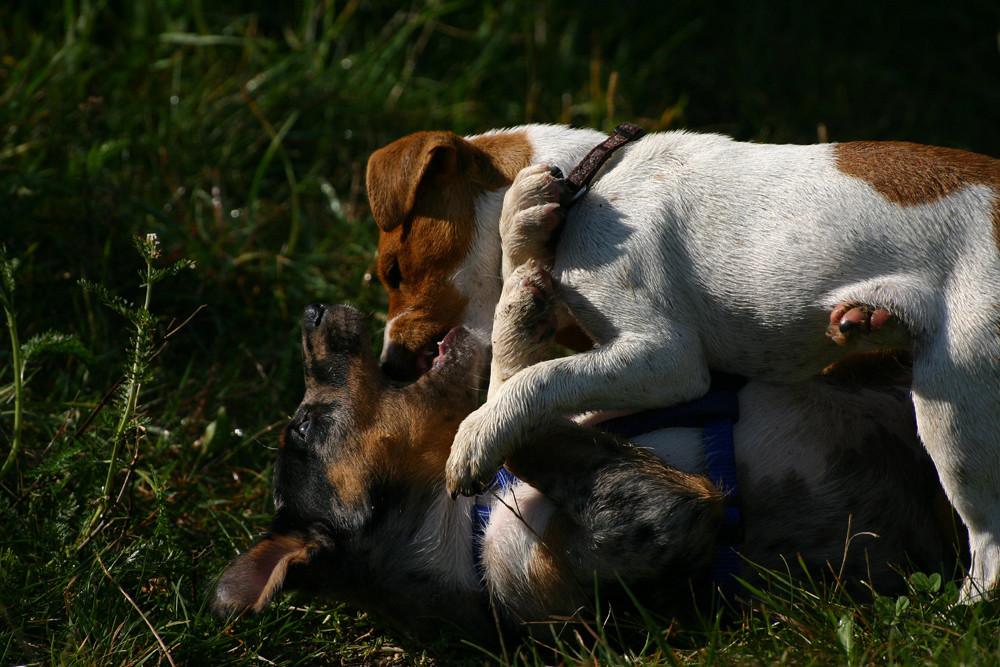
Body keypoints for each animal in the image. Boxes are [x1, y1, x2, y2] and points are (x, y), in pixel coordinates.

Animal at [368, 124, 1000, 600]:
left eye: (393, 271)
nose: (390, 366)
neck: (593, 181)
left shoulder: (665, 357)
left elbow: (532, 376)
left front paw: (477, 434)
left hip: (956, 408)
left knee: (988, 552)